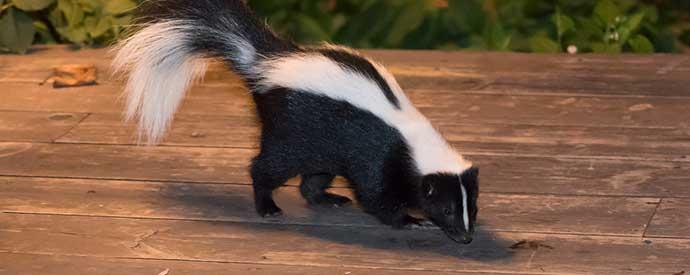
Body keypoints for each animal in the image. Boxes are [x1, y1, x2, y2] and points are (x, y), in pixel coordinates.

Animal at [113, 0, 478, 246]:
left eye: (471, 207)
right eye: (446, 208)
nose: (466, 237)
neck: (412, 137)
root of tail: (266, 63)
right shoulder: (379, 157)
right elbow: (376, 195)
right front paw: (410, 220)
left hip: (320, 146)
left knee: (312, 180)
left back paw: (329, 198)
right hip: (290, 132)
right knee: (266, 167)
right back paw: (268, 206)